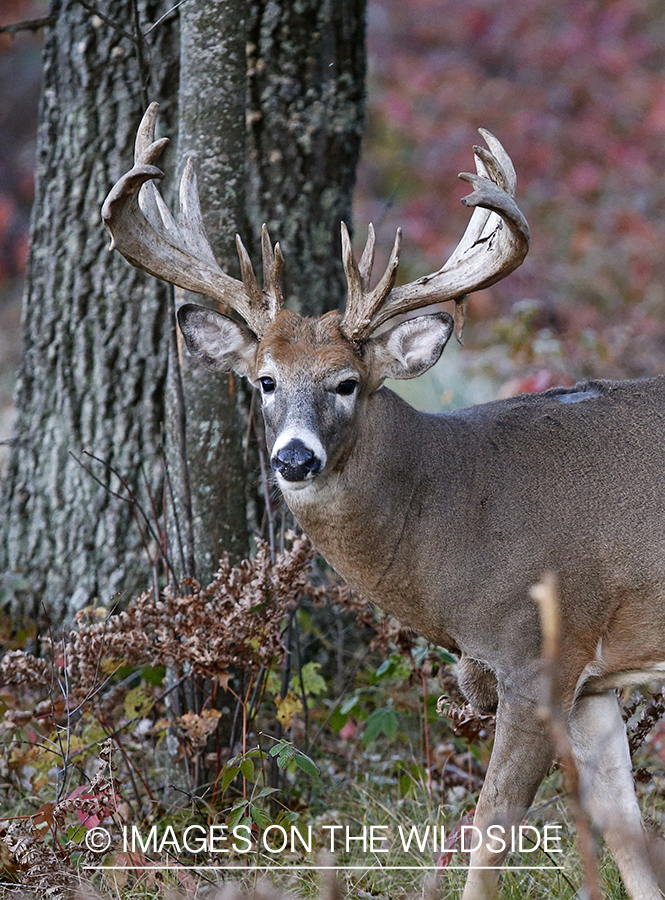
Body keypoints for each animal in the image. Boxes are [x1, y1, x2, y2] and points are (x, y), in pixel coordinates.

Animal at [102, 103, 664, 892]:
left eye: (346, 382)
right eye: (264, 380)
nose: (295, 457)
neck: (459, 509)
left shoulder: (539, 655)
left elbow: (490, 834)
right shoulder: (591, 681)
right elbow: (625, 836)